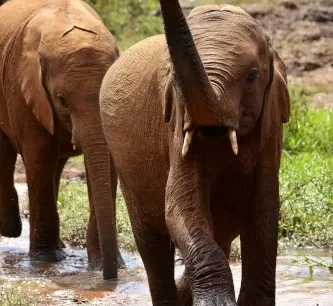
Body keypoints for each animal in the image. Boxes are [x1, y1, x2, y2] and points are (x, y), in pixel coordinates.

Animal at [0, 0, 122, 280]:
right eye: (62, 100)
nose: (110, 277)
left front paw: (103, 263)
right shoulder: (22, 88)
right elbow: (39, 158)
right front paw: (45, 262)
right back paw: (11, 229)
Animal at [100, 0, 290, 304]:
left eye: (251, 77)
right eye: (175, 79)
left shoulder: (270, 130)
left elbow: (265, 213)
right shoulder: (176, 125)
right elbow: (180, 207)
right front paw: (217, 302)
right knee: (152, 245)